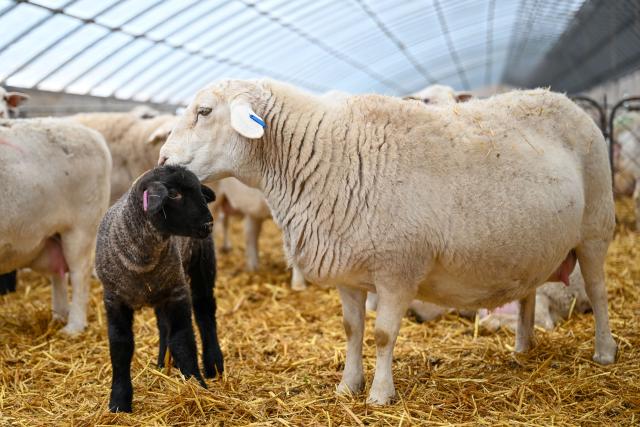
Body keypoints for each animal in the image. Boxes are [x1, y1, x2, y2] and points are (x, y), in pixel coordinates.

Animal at [0, 118, 111, 334]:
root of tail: (95, 135)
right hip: (52, 234)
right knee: (58, 273)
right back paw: (59, 316)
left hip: (81, 227)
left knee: (79, 274)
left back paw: (73, 327)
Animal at [94, 165, 223, 413]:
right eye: (173, 194)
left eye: (199, 192)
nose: (208, 224)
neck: (142, 259)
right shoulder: (114, 300)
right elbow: (120, 346)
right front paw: (119, 401)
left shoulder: (178, 293)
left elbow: (183, 340)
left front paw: (197, 386)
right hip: (160, 293)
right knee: (164, 326)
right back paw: (162, 363)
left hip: (202, 263)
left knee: (205, 312)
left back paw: (213, 364)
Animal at [159, 78, 617, 405]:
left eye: (204, 111)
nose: (162, 161)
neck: (323, 157)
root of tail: (563, 99)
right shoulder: (347, 270)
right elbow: (351, 329)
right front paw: (348, 386)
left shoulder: (399, 269)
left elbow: (381, 334)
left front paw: (380, 395)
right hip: (532, 244)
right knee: (527, 295)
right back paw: (522, 348)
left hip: (595, 229)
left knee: (598, 291)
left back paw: (605, 353)